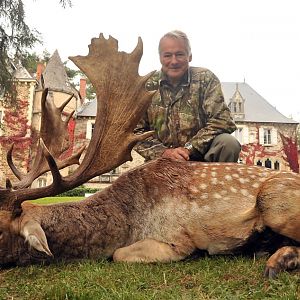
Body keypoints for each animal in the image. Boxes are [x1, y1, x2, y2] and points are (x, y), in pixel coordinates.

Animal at [0, 33, 298, 278]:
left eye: (0, 231)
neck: (126, 220)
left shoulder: (176, 240)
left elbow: (118, 254)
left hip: (274, 199)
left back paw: (276, 260)